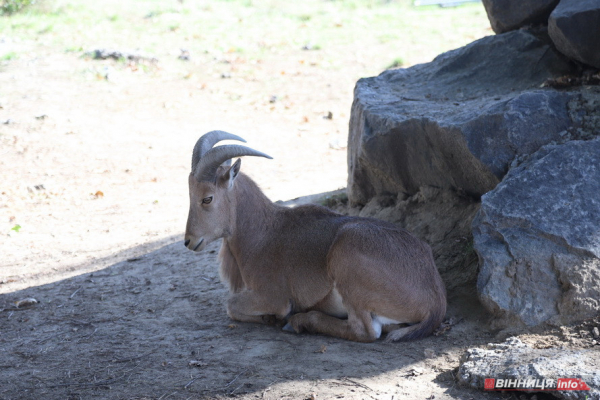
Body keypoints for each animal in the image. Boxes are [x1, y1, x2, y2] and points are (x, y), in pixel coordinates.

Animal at [185, 131, 448, 344]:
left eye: (207, 198)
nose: (188, 241)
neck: (262, 233)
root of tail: (434, 302)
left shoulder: (272, 296)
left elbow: (231, 305)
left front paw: (274, 318)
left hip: (348, 265)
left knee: (365, 331)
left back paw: (298, 322)